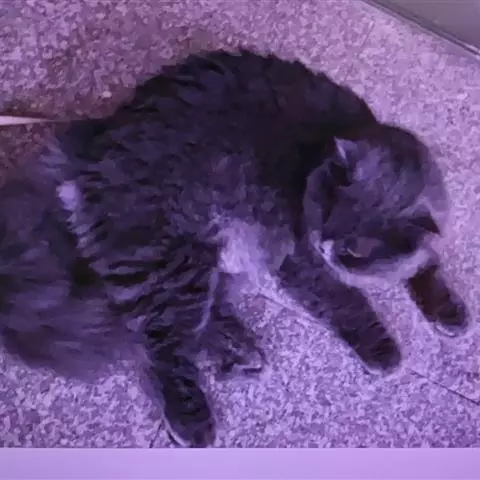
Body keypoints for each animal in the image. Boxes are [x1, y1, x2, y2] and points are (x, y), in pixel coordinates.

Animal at [0, 49, 468, 447]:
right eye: (325, 216)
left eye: (354, 247)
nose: (324, 243)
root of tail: (89, 151)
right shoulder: (300, 260)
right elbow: (350, 301)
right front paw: (384, 351)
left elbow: (429, 266)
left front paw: (449, 312)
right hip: (178, 264)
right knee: (159, 348)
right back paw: (194, 420)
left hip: (214, 268)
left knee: (194, 324)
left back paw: (243, 354)